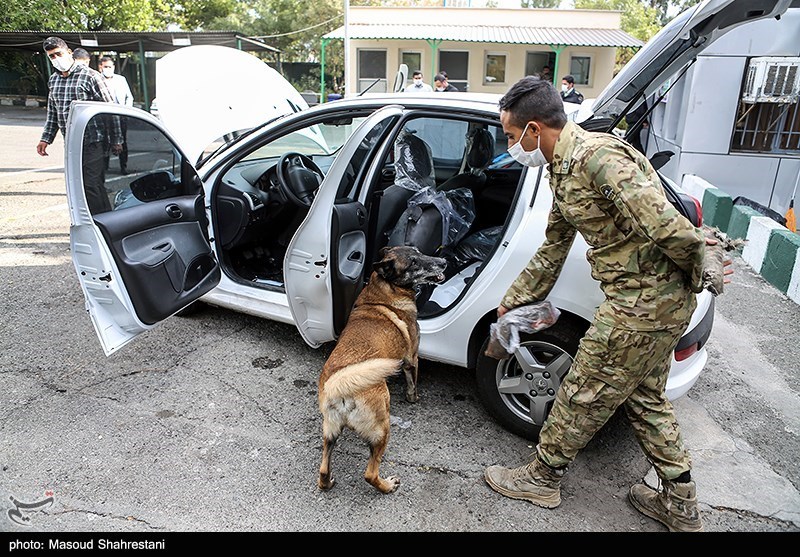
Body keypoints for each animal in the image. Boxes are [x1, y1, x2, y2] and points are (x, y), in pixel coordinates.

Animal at [316, 245, 446, 494]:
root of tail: (341, 387)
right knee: (370, 473)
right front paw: (414, 398)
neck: (383, 291)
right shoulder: (412, 359)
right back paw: (387, 485)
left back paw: (328, 482)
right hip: (381, 430)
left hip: (330, 432)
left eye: (418, 251)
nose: (443, 262)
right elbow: (412, 384)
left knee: (323, 471)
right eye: (413, 262)